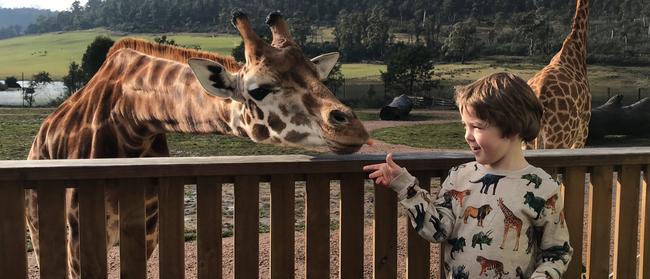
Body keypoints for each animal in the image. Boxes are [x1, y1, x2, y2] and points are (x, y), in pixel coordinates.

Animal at [26, 10, 370, 278]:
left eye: (319, 77)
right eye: (258, 89)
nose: (352, 128)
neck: (129, 118)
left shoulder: (147, 231)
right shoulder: (78, 235)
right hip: (39, 225)